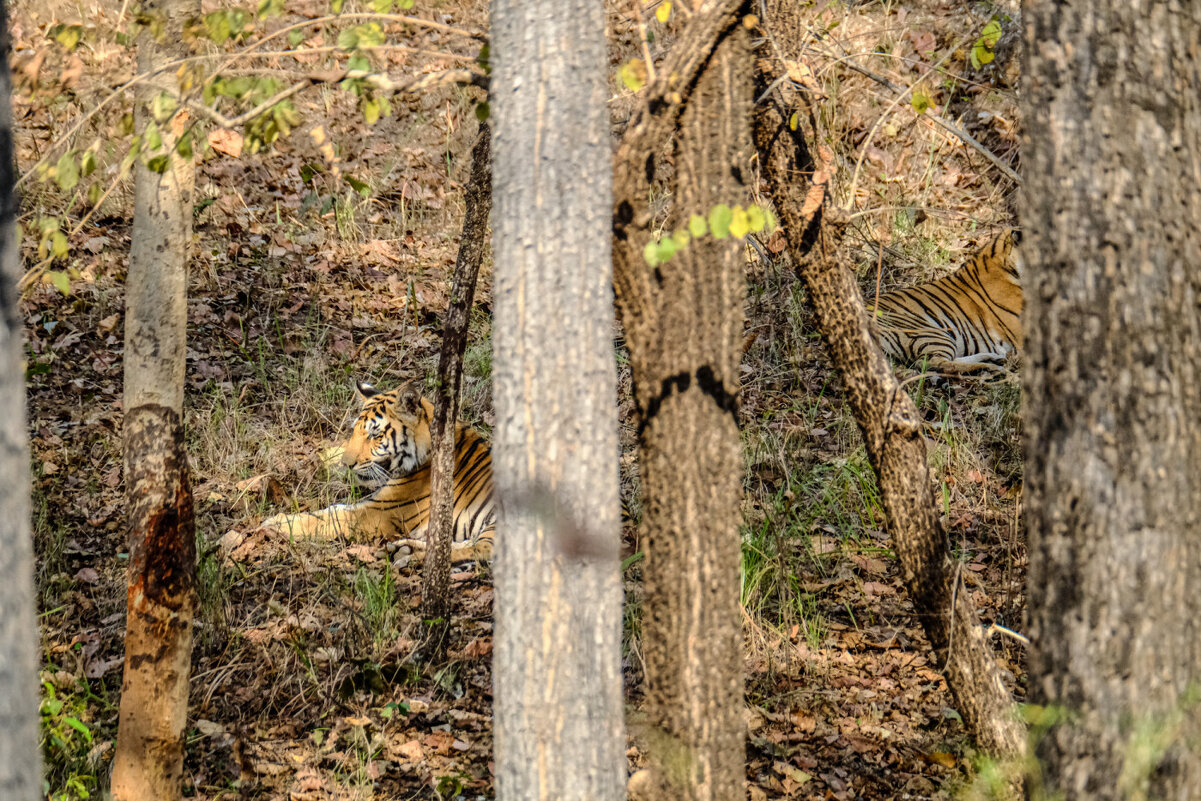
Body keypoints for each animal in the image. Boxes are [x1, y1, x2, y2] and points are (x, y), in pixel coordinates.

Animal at [263, 381, 497, 564]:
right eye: (354, 431)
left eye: (375, 435)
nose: (346, 464)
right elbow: (332, 509)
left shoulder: (379, 512)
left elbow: (328, 519)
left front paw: (276, 523)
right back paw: (402, 549)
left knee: (481, 551)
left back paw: (407, 555)